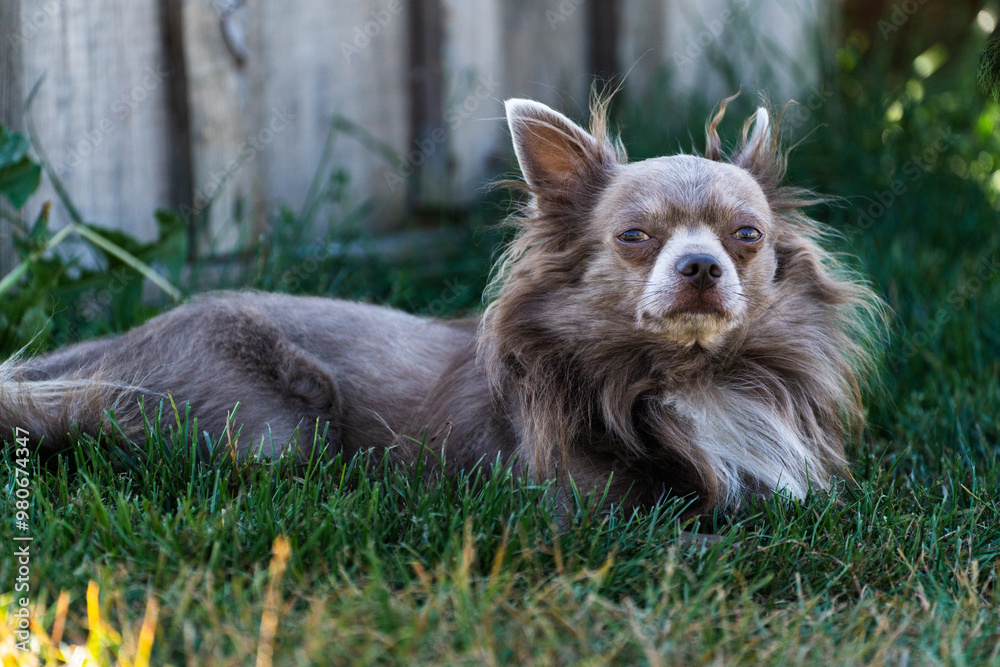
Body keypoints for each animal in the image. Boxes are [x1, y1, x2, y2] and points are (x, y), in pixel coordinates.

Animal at [0, 95, 884, 516]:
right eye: (634, 236)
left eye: (746, 236)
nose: (701, 265)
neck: (689, 375)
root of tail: (120, 343)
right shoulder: (585, 504)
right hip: (274, 430)